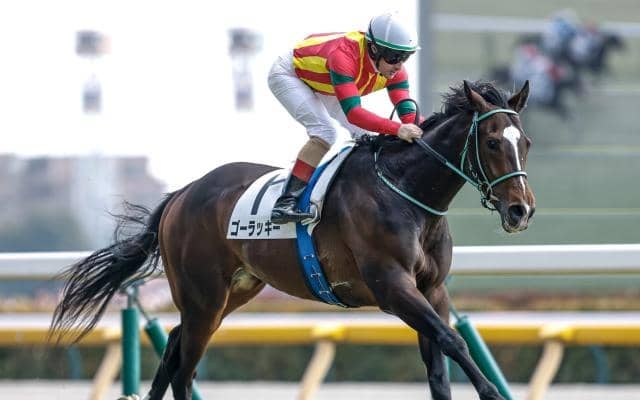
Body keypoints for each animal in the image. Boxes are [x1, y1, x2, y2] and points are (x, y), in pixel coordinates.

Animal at [50, 80, 535, 400]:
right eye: (493, 142)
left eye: (525, 142)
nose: (521, 210)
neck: (404, 193)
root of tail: (183, 193)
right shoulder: (393, 287)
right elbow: (453, 342)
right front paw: (493, 393)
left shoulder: (431, 290)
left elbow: (438, 367)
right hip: (202, 294)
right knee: (185, 367)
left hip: (233, 291)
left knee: (173, 346)